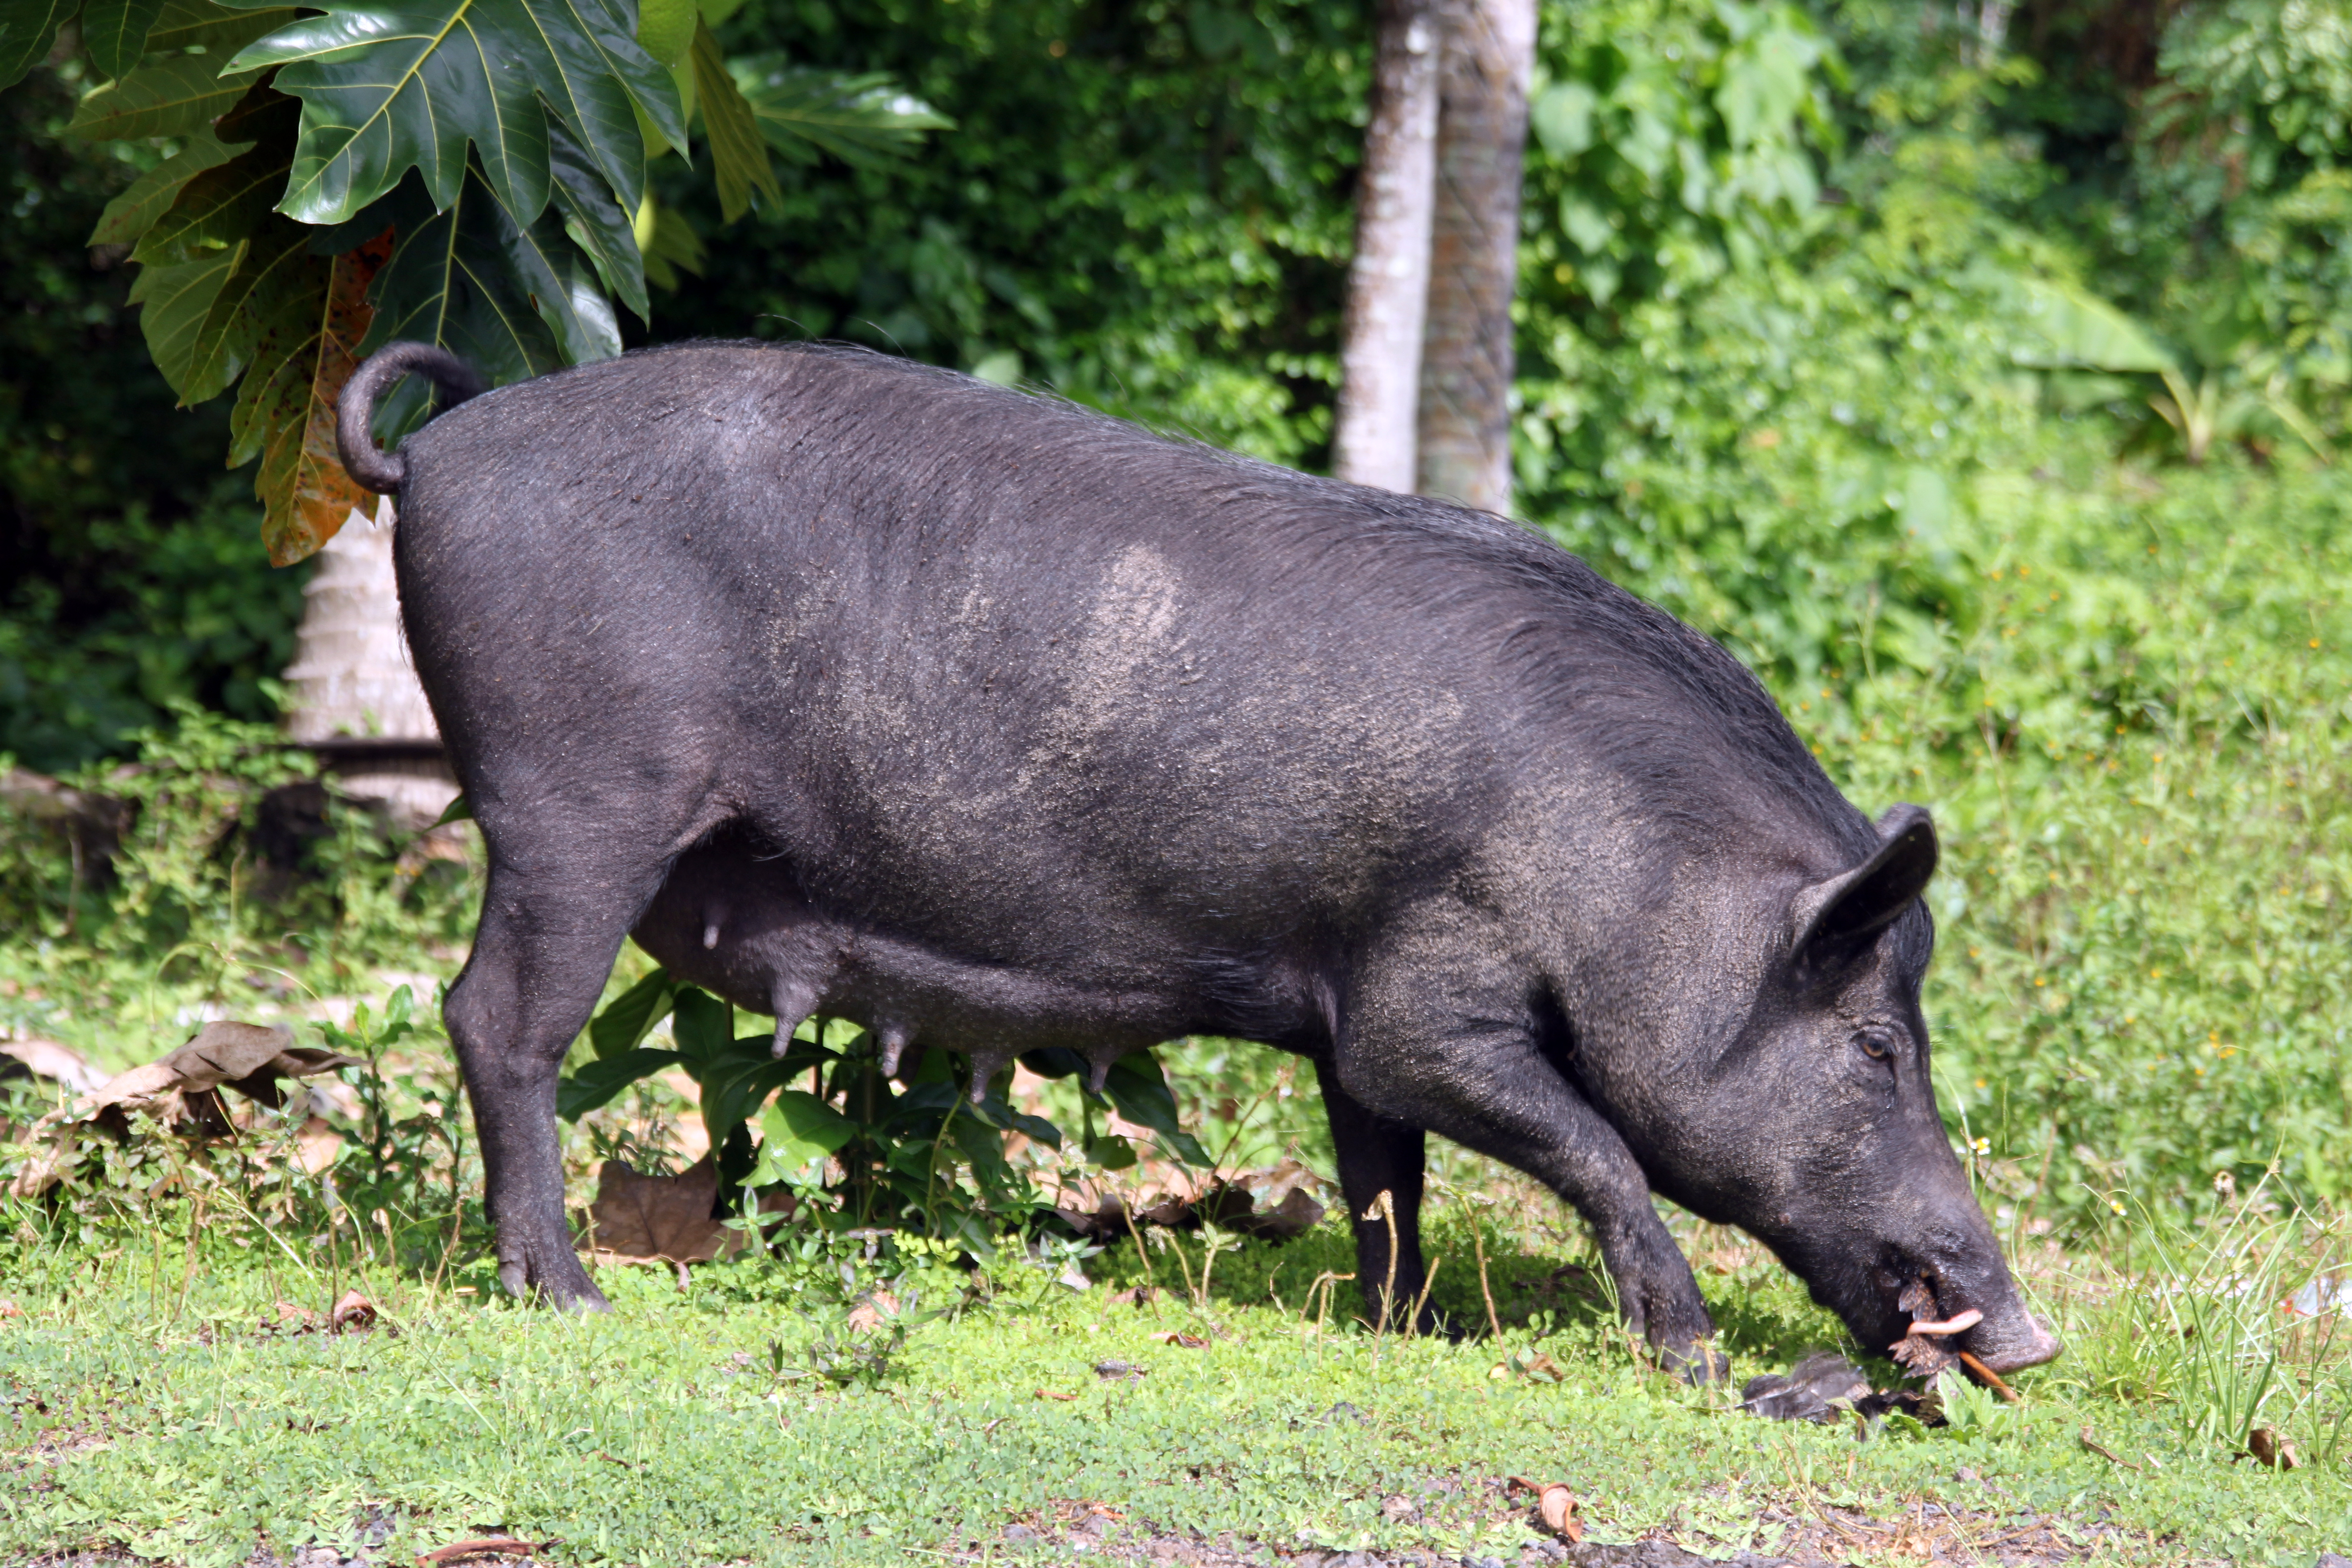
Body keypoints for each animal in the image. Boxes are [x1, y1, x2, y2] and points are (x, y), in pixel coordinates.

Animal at [336, 338, 2060, 1382]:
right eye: (1877, 1045)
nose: (2037, 1340)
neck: (1630, 884)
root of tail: (446, 450)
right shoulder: (1428, 993)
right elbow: (1596, 1147)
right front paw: (1689, 1356)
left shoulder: (1354, 1016)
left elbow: (1385, 1178)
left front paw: (1402, 1327)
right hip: (574, 795)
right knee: (497, 1019)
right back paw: (567, 1294)